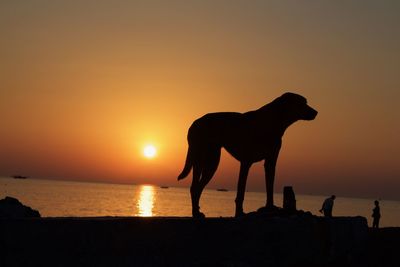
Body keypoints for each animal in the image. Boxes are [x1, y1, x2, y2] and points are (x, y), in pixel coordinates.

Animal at [177, 93, 318, 219]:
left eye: (305, 101)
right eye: (302, 103)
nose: (316, 112)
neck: (271, 121)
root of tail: (194, 124)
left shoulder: (270, 161)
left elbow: (269, 187)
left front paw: (270, 208)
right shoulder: (246, 162)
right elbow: (241, 190)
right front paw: (239, 213)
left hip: (204, 160)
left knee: (195, 187)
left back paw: (197, 211)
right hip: (209, 160)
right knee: (195, 187)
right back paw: (196, 213)